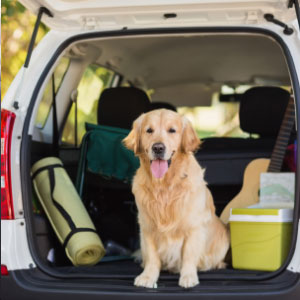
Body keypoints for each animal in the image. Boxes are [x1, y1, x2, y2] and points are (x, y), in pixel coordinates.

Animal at [123, 108, 229, 288]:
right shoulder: (147, 226)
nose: (158, 148)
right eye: (149, 130)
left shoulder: (193, 226)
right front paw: (148, 277)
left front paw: (188, 277)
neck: (164, 186)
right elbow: (152, 256)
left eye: (172, 130)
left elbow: (189, 254)